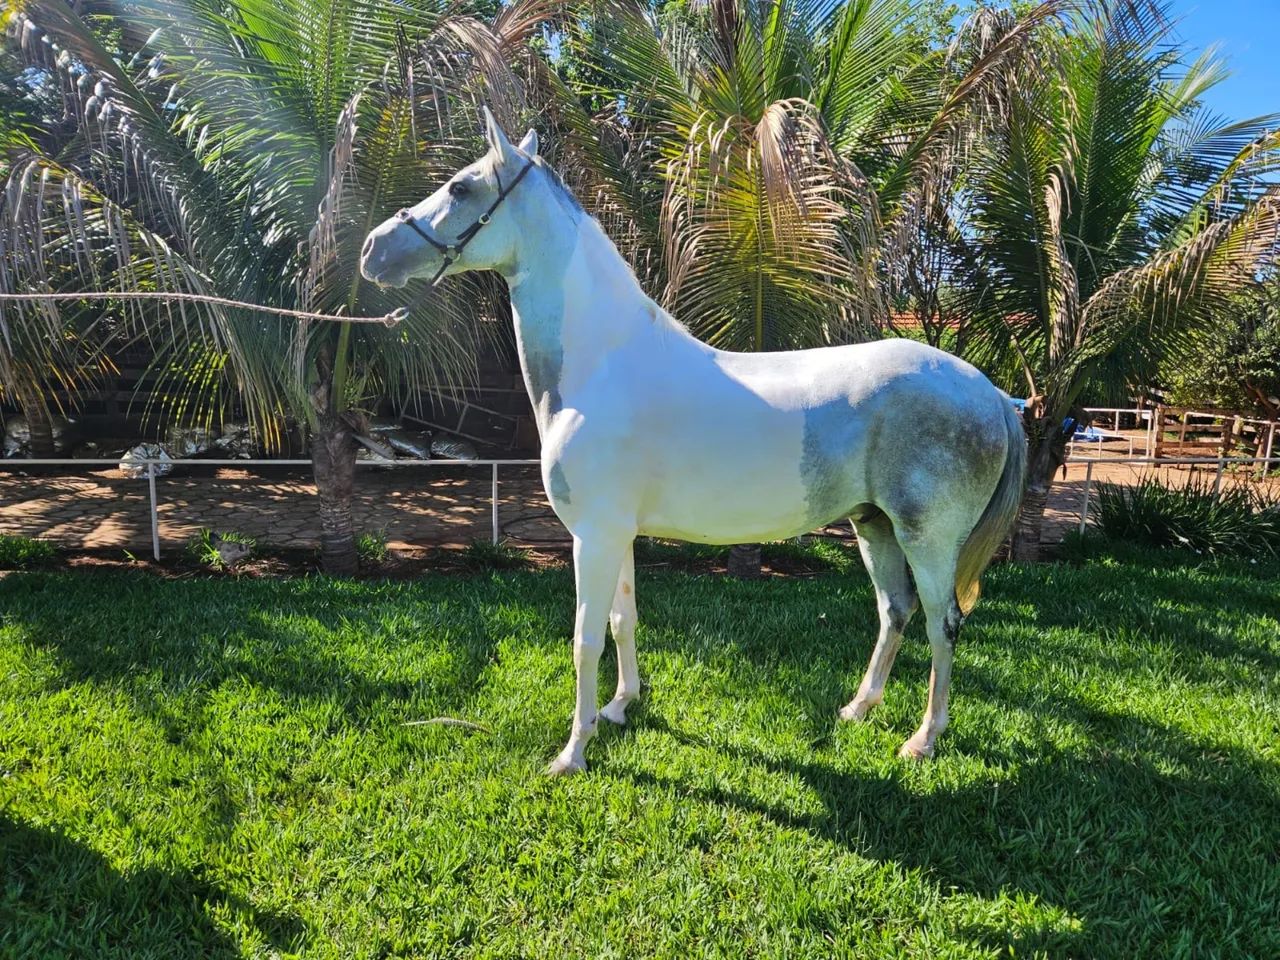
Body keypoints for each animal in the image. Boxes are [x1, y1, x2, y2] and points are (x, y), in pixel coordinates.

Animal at [360, 108, 1026, 775]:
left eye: (460, 188)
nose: (372, 250)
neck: (603, 364)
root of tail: (993, 394)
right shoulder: (618, 534)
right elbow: (624, 619)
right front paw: (620, 709)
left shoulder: (593, 535)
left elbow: (585, 639)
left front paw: (573, 752)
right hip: (874, 525)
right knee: (895, 611)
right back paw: (857, 709)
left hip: (927, 538)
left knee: (943, 623)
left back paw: (923, 739)